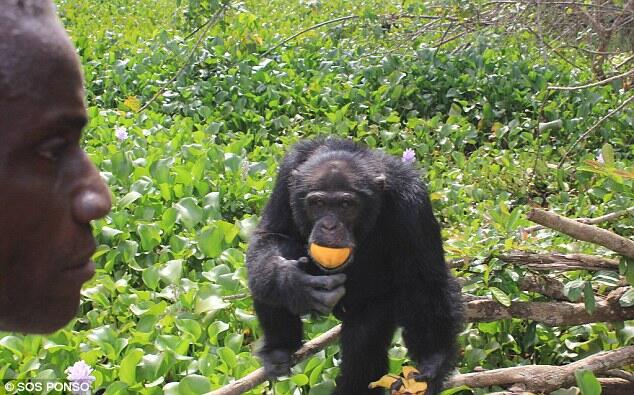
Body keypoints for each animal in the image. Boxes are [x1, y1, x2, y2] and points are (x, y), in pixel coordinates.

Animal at [246, 138, 460, 394]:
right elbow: (272, 235)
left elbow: (423, 279)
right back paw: (278, 351)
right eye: (318, 203)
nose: (329, 225)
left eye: (346, 204)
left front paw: (433, 361)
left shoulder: (413, 202)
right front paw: (290, 281)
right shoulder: (286, 174)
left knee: (363, 342)